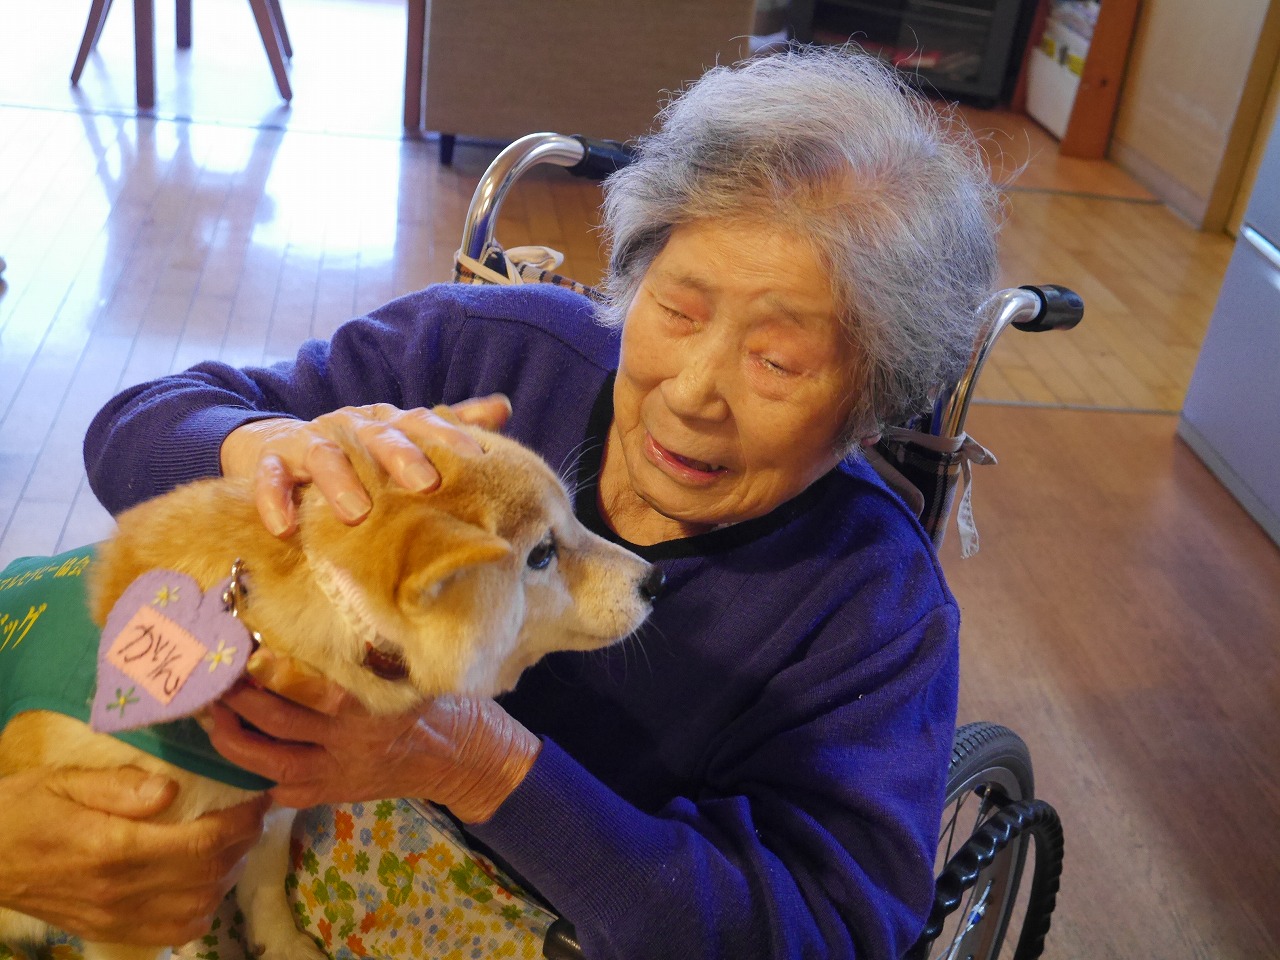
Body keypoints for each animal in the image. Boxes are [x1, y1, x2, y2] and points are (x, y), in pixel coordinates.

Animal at [0, 412, 660, 960]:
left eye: (573, 521)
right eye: (542, 553)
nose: (655, 579)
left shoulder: (269, 808)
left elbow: (265, 892)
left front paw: (282, 946)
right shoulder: (128, 902)